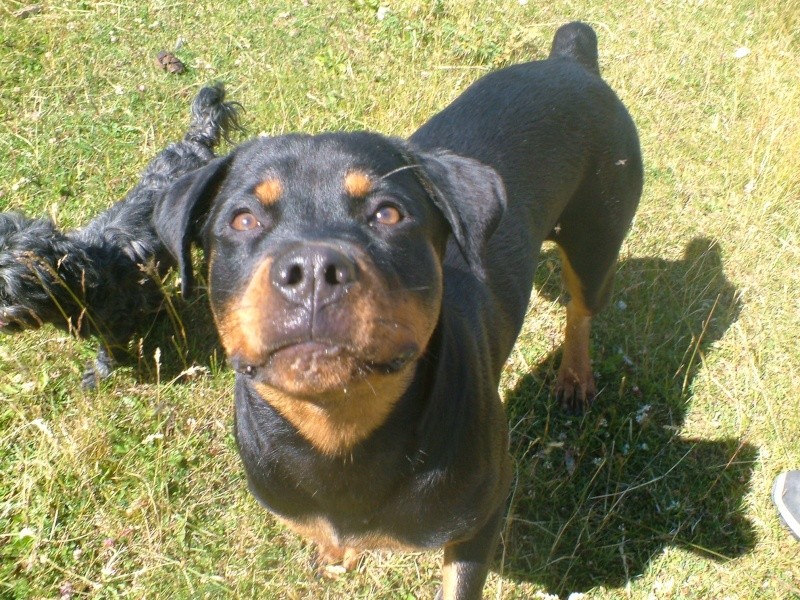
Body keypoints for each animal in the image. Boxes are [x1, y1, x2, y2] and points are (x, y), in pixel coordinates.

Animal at [0, 83, 241, 384]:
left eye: (7, 293)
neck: (81, 272)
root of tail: (195, 142)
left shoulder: (116, 320)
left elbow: (110, 349)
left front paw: (100, 373)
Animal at [155, 21, 644, 600]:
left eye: (389, 214)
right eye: (243, 219)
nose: (314, 268)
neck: (340, 436)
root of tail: (571, 61)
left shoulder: (481, 515)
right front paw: (333, 553)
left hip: (597, 234)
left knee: (582, 308)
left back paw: (574, 375)